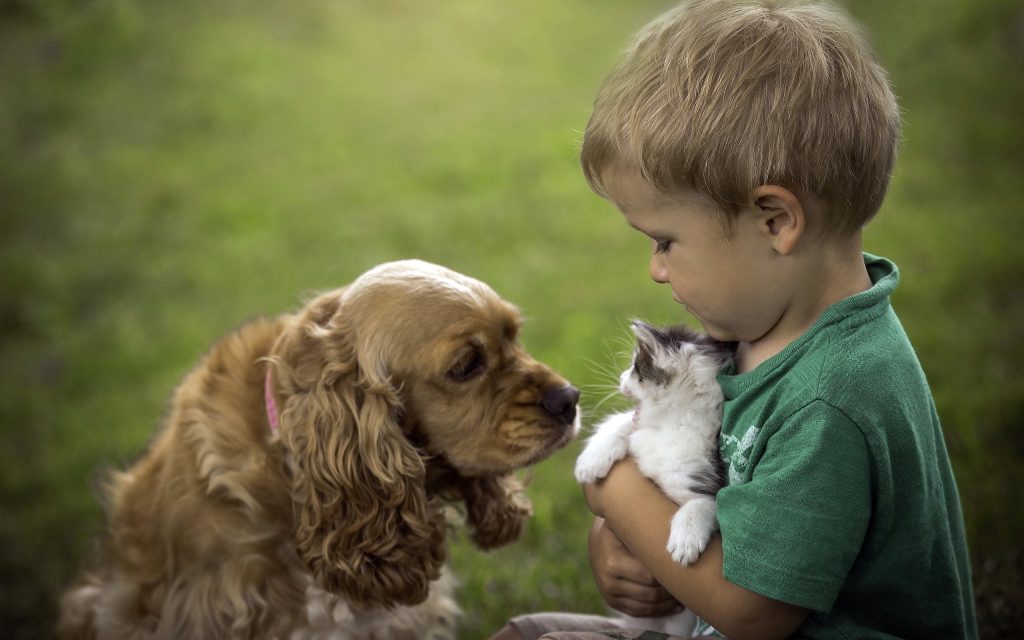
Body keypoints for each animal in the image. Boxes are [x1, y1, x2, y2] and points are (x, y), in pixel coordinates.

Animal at [577, 319, 737, 634]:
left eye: (635, 368)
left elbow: (703, 503)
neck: (670, 424)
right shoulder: (642, 432)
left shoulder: (703, 476)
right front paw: (592, 459)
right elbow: (624, 422)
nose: (620, 379)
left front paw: (686, 540)